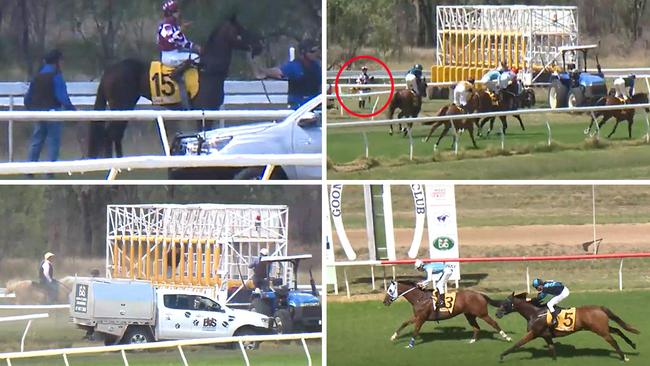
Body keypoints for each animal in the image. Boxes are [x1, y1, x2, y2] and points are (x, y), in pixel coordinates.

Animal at [87, 16, 262, 158]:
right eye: (241, 30)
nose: (259, 45)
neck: (208, 70)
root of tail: (109, 71)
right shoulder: (204, 111)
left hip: (126, 107)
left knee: (115, 135)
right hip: (122, 104)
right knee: (110, 135)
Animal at [380, 280, 512, 348]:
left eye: (390, 290)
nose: (384, 302)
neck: (420, 298)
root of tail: (480, 295)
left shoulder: (421, 318)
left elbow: (416, 330)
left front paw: (410, 345)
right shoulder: (417, 316)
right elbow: (404, 323)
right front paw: (394, 337)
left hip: (482, 314)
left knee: (494, 323)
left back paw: (507, 337)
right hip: (469, 315)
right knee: (476, 328)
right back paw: (472, 341)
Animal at [494, 294, 636, 362]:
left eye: (505, 303)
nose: (497, 313)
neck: (535, 313)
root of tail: (600, 308)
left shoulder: (534, 333)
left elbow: (518, 344)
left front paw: (502, 356)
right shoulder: (546, 335)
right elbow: (552, 350)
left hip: (601, 330)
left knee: (613, 341)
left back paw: (624, 357)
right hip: (602, 327)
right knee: (617, 330)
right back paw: (632, 344)